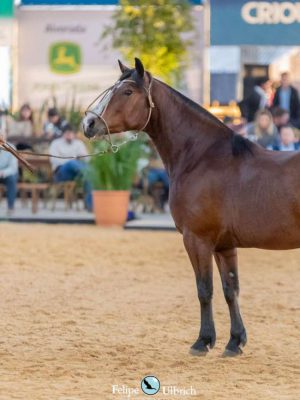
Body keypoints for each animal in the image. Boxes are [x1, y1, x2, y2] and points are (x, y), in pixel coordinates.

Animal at [82, 58, 300, 356]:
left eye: (127, 92)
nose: (89, 123)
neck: (202, 157)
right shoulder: (223, 246)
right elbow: (230, 289)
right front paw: (235, 342)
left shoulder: (196, 239)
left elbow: (204, 290)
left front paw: (202, 341)